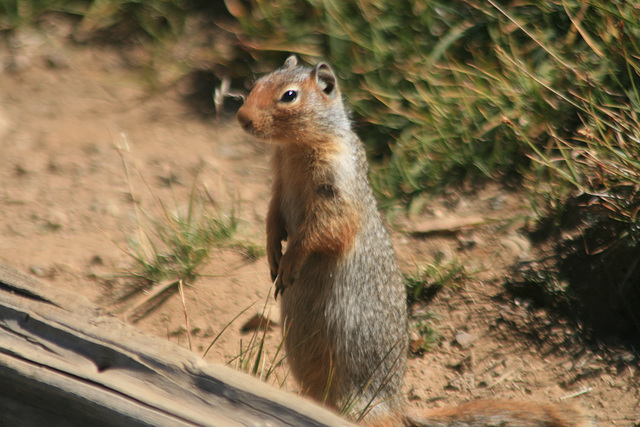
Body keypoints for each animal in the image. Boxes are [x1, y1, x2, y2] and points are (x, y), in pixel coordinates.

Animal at [236, 56, 596, 427]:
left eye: (289, 96)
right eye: (259, 82)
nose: (242, 117)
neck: (294, 148)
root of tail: (397, 403)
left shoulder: (337, 193)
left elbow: (321, 232)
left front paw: (290, 262)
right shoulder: (279, 185)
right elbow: (272, 219)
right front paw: (272, 254)